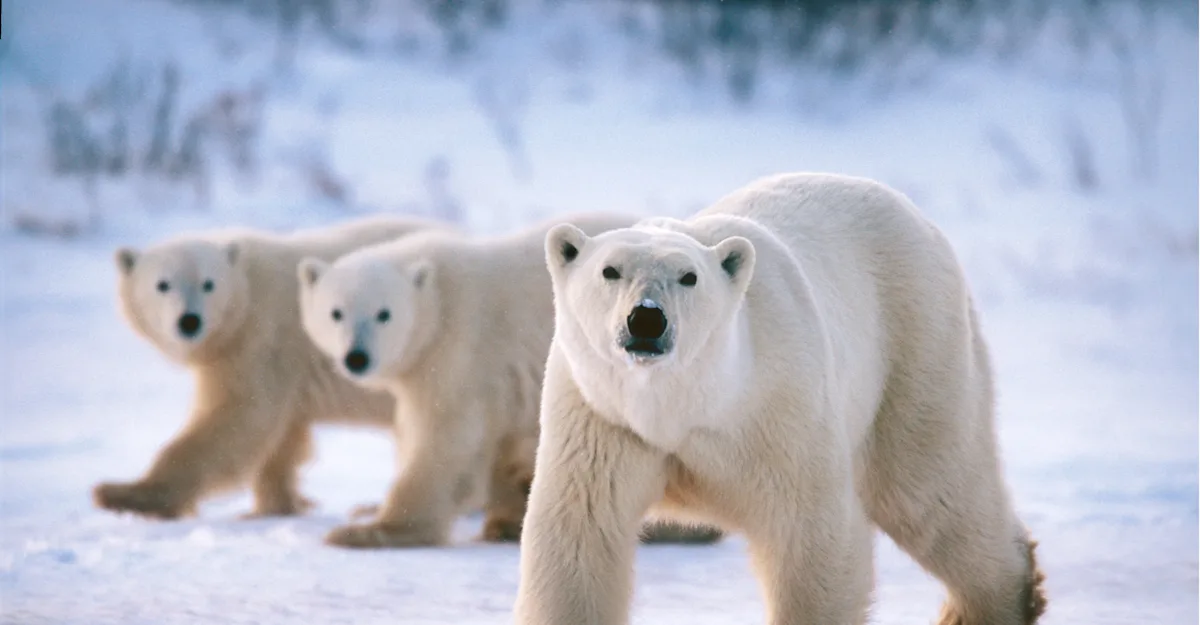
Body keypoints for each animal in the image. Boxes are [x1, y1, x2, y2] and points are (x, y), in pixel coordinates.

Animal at [93, 215, 464, 521]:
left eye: (209, 283)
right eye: (162, 284)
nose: (189, 321)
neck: (247, 290)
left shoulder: (259, 340)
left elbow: (236, 418)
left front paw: (122, 494)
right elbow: (281, 436)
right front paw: (276, 504)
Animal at [298, 212, 726, 549]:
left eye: (384, 314)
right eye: (336, 312)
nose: (356, 357)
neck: (437, 298)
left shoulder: (461, 350)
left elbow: (444, 441)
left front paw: (367, 531)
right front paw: (503, 519)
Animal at [515, 172, 1047, 625]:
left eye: (689, 277)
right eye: (609, 271)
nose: (647, 318)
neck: (688, 404)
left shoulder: (778, 409)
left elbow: (809, 535)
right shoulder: (601, 418)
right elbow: (580, 537)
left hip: (915, 342)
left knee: (928, 489)